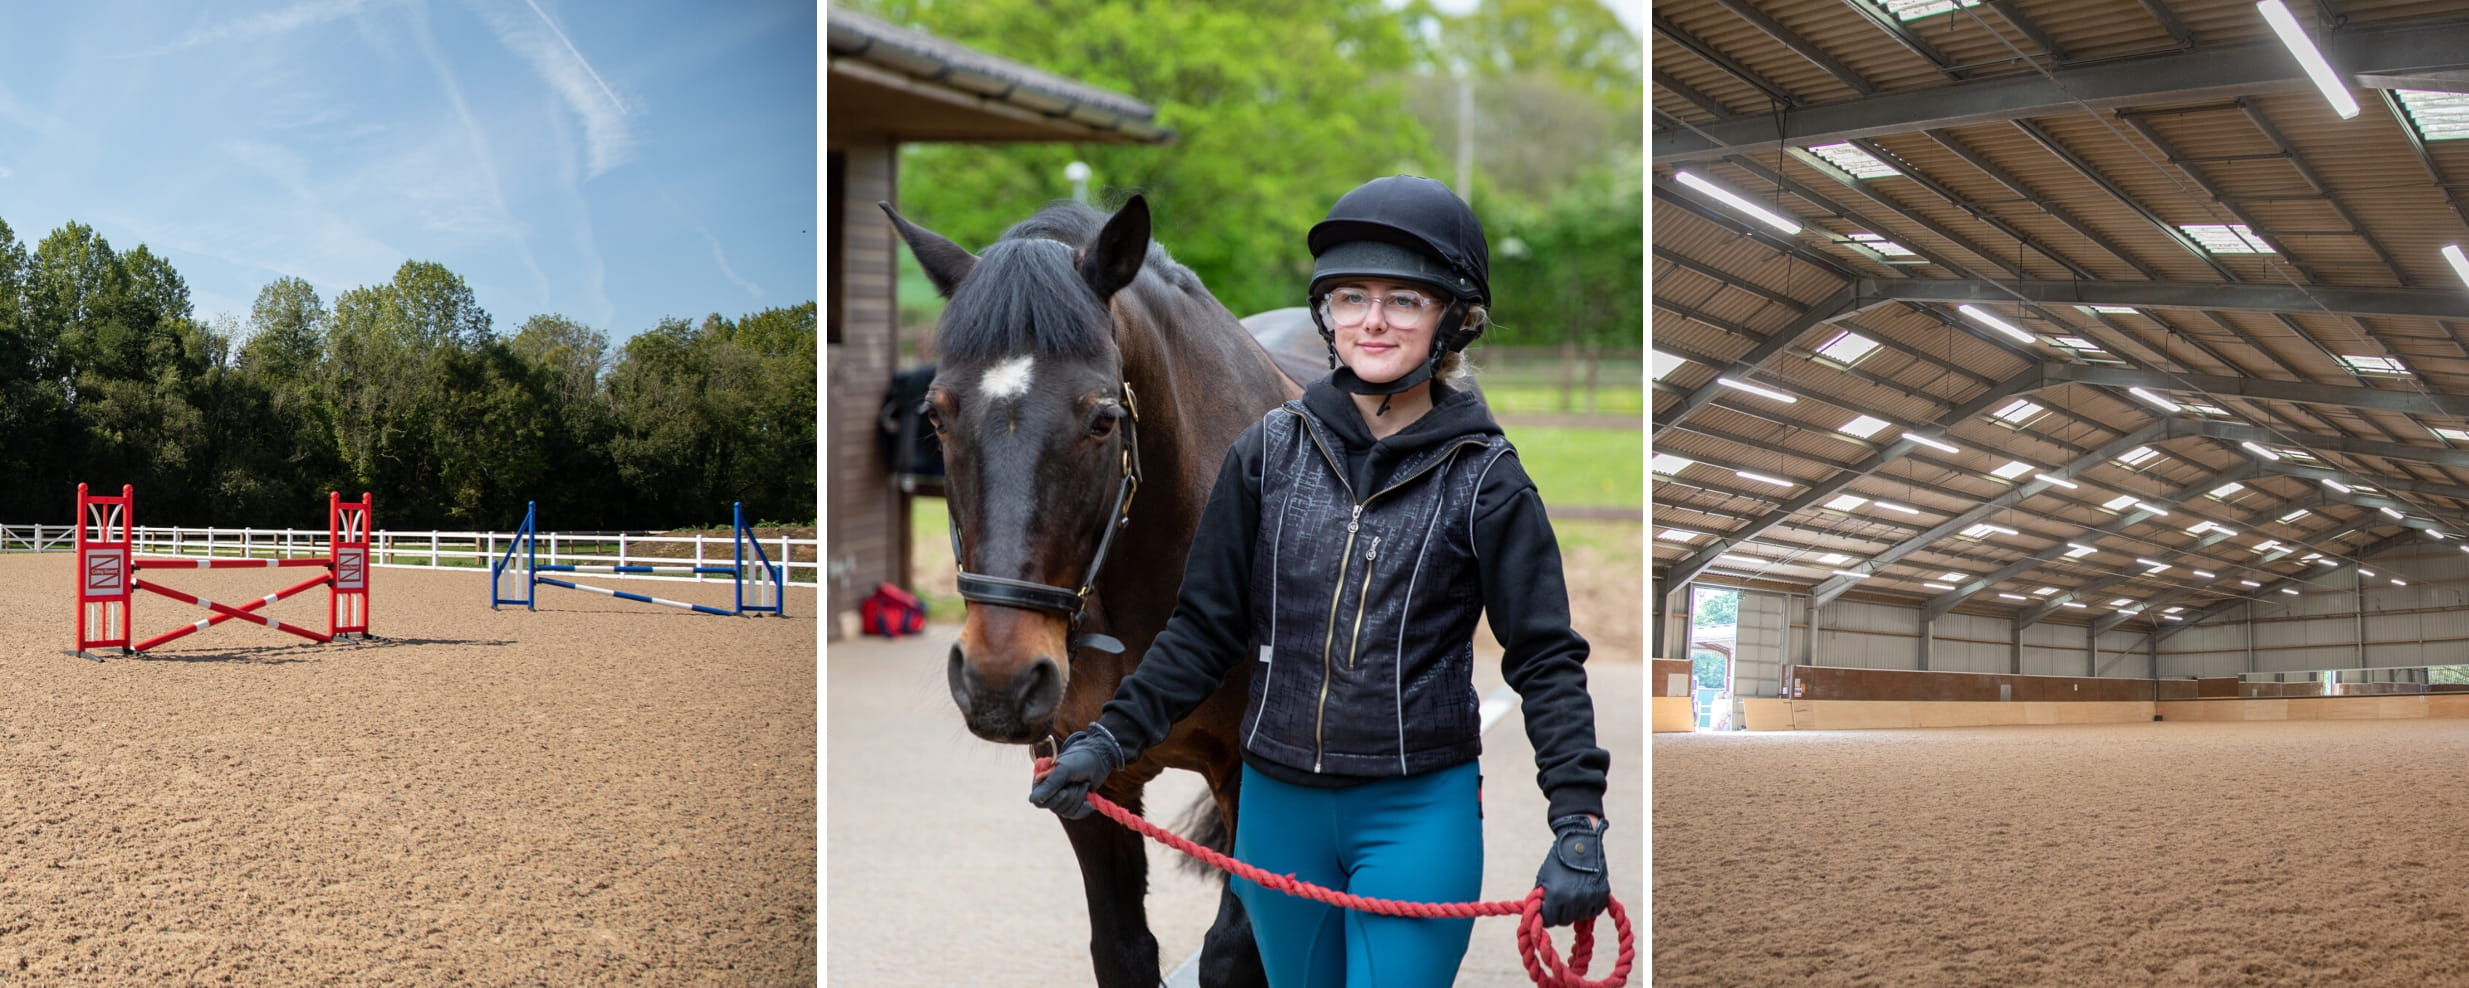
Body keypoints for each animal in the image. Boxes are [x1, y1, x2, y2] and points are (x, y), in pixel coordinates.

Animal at [893, 195, 1313, 988]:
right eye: (935, 415)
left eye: (1102, 419)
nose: (999, 679)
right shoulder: (1087, 784)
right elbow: (1121, 950)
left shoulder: (1253, 780)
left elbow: (1235, 952)